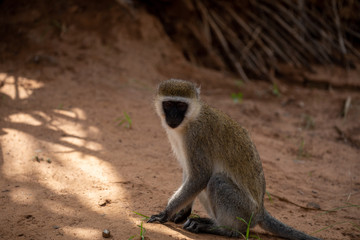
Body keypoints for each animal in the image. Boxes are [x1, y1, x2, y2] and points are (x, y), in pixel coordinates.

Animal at [148, 79, 322, 240]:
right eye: (168, 104)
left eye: (180, 105)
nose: (173, 116)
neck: (190, 120)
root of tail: (260, 212)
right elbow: (190, 174)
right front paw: (182, 212)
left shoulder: (197, 138)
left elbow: (199, 177)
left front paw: (165, 213)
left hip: (243, 211)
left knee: (216, 180)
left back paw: (223, 229)